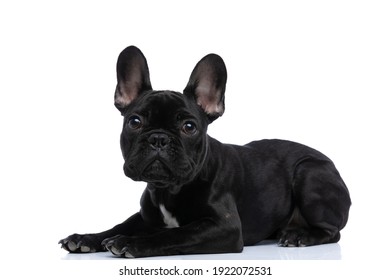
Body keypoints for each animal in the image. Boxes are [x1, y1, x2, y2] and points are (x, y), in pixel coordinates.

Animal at [59, 46, 352, 258]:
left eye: (189, 127)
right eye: (135, 122)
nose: (158, 138)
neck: (167, 189)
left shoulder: (224, 227)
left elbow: (175, 234)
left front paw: (131, 243)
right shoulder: (145, 215)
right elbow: (121, 224)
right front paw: (86, 238)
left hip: (309, 173)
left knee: (332, 231)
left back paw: (300, 235)